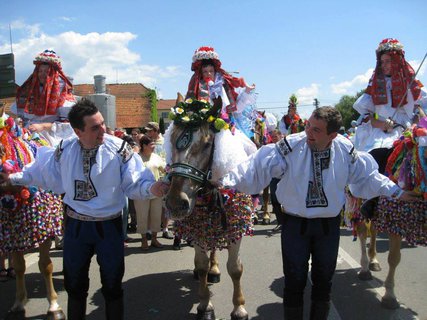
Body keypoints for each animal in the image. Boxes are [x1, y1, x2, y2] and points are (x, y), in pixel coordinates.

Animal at [166, 95, 254, 320]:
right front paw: (205, 305)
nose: (176, 203)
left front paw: (239, 308)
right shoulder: (198, 225)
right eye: (171, 140)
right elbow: (201, 264)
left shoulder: (235, 226)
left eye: (207, 144)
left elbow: (235, 268)